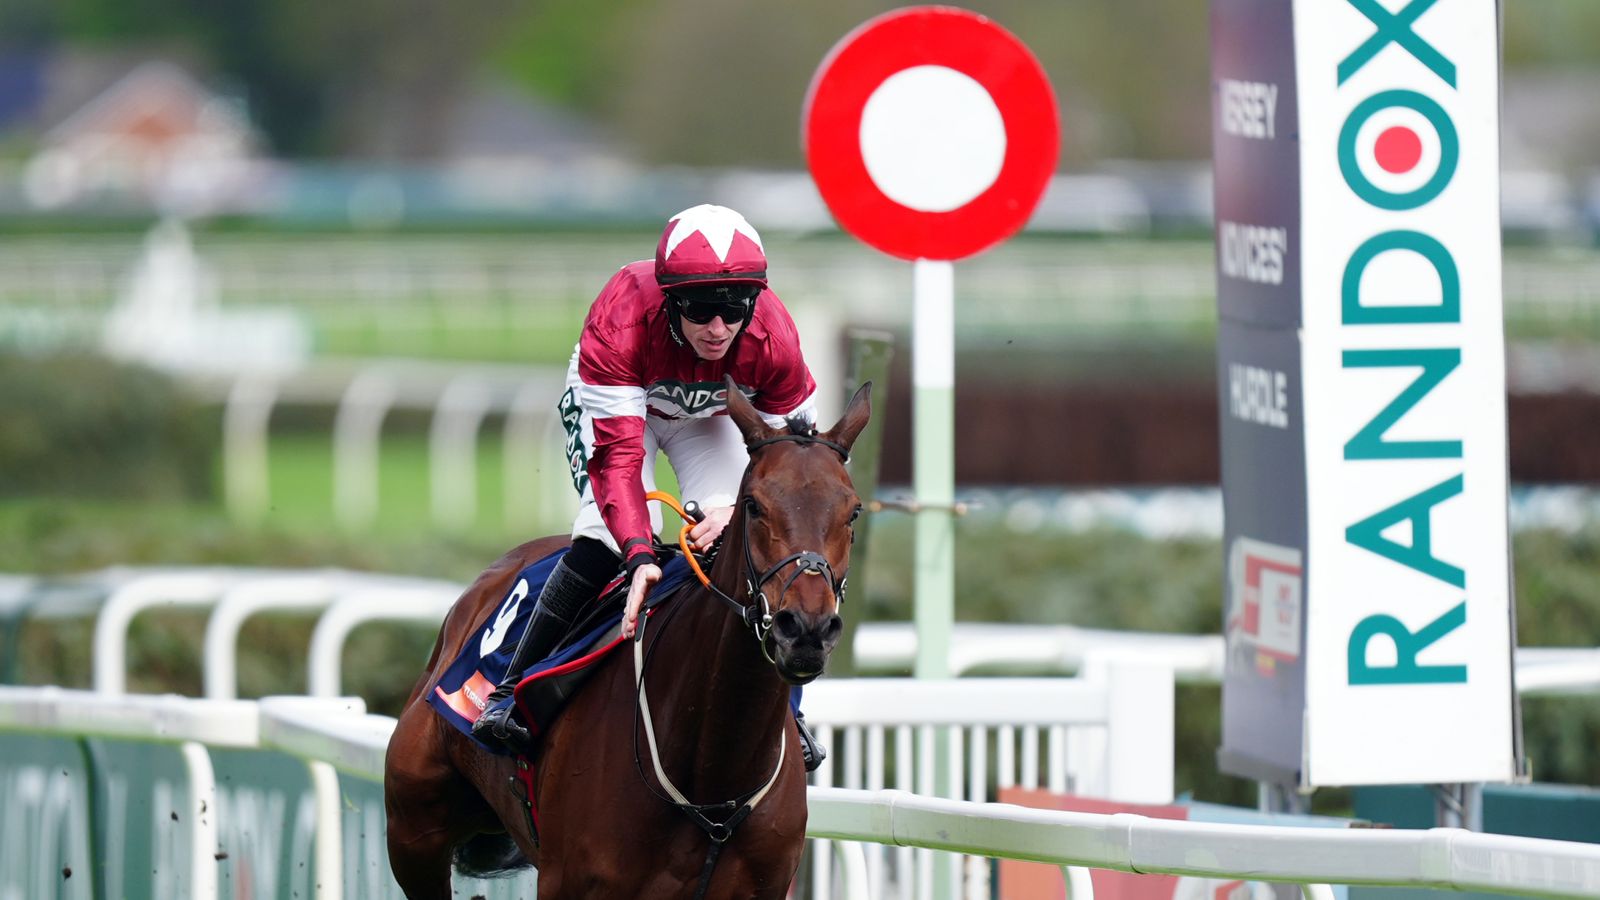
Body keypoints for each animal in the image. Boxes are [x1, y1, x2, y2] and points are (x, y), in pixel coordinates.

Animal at [380, 377, 870, 896]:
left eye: (853, 512)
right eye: (754, 505)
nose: (806, 629)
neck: (712, 776)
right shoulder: (566, 881)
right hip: (413, 832)